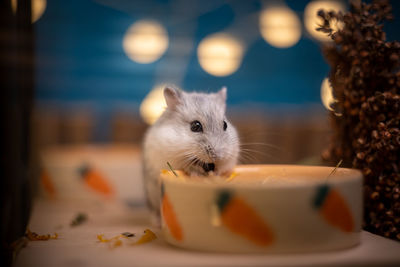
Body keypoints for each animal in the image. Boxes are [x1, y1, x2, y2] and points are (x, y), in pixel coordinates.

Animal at [142, 87, 239, 225]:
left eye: (225, 125)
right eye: (195, 126)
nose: (217, 156)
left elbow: (222, 168)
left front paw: (217, 175)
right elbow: (188, 166)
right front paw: (197, 176)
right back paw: (157, 221)